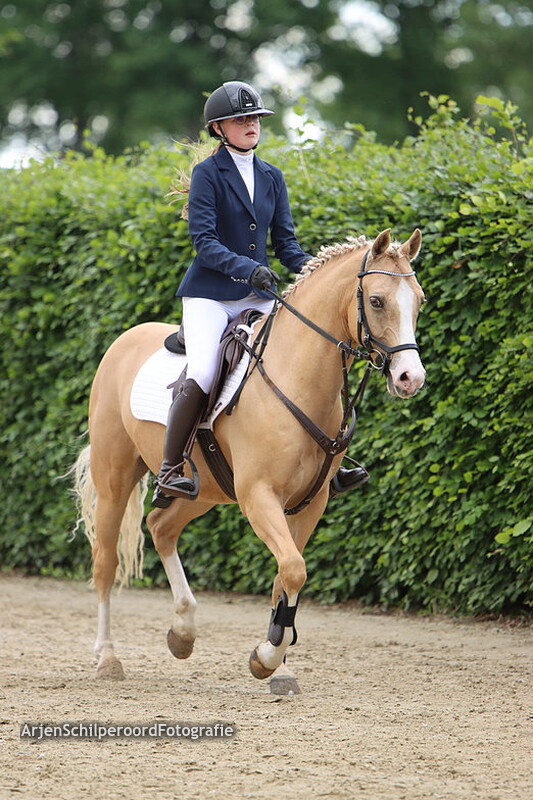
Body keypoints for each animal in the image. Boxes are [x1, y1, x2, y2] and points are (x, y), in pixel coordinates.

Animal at [72, 228, 426, 688]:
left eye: (419, 300)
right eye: (378, 301)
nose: (410, 378)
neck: (298, 378)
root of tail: (125, 339)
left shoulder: (310, 503)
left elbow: (286, 575)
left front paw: (276, 662)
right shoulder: (259, 496)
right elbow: (293, 568)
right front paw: (268, 654)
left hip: (205, 490)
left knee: (161, 527)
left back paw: (182, 632)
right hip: (115, 477)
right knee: (105, 560)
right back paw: (107, 657)